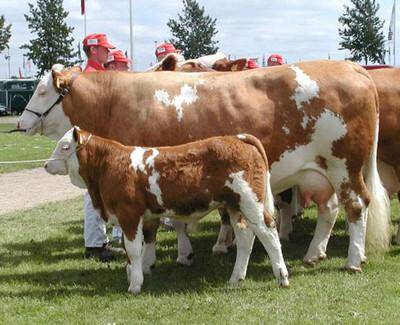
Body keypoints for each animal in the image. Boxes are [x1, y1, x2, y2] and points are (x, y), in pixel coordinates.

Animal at [18, 60, 390, 270]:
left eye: (40, 91)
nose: (20, 122)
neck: (118, 102)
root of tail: (351, 66)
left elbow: (153, 227)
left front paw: (150, 262)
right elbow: (172, 222)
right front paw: (181, 255)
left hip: (345, 165)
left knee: (357, 205)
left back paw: (353, 260)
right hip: (318, 172)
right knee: (330, 210)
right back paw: (315, 254)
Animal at [45, 127, 290, 294]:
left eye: (64, 147)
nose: (46, 164)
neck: (110, 165)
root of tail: (237, 137)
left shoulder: (128, 214)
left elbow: (132, 248)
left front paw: (135, 284)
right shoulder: (139, 217)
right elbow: (135, 246)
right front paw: (135, 273)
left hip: (251, 202)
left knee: (268, 233)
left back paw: (282, 277)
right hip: (234, 205)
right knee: (246, 237)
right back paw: (235, 278)